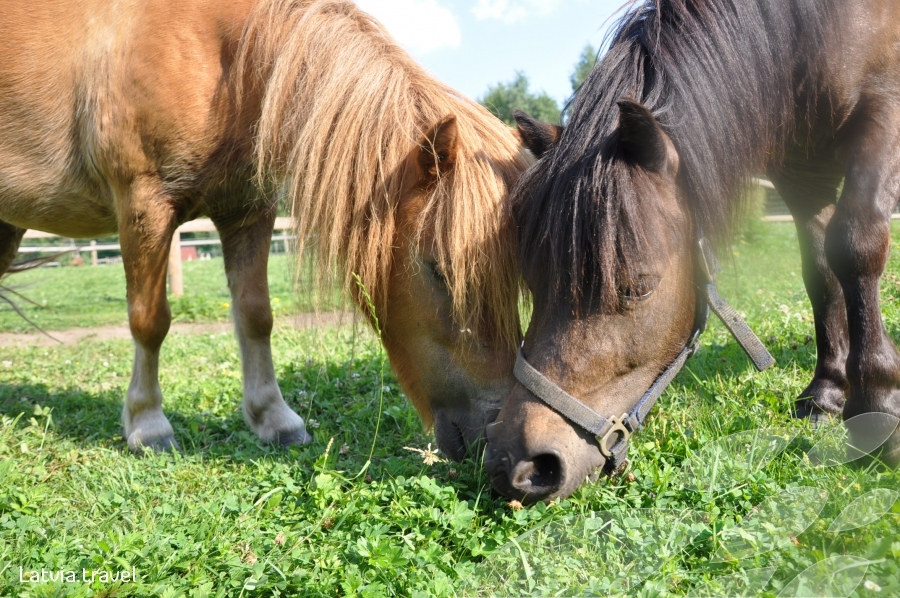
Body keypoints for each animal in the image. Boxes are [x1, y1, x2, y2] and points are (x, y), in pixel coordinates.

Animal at [0, 1, 532, 460]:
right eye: (439, 269)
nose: (494, 429)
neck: (214, 56)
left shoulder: (248, 210)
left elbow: (256, 315)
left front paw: (273, 418)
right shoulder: (143, 205)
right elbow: (149, 321)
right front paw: (147, 424)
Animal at [488, 0, 900, 506]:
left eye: (637, 288)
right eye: (533, 282)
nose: (517, 462)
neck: (809, 30)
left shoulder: (885, 109)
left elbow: (855, 245)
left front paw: (877, 406)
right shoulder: (801, 168)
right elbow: (819, 270)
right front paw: (826, 394)